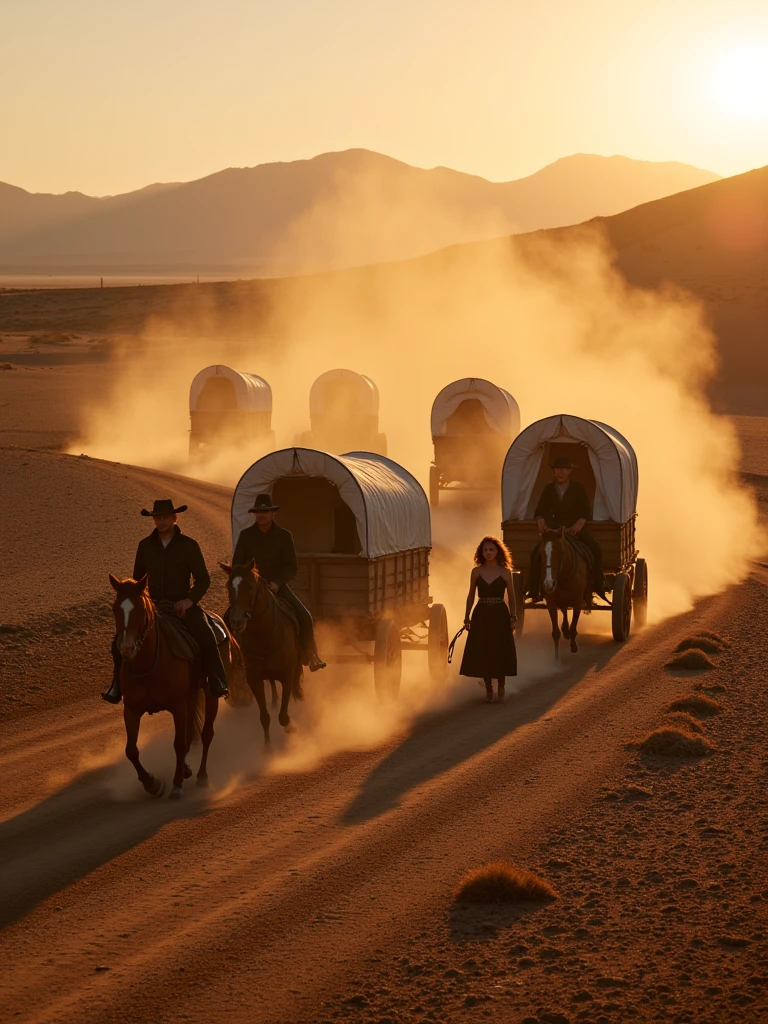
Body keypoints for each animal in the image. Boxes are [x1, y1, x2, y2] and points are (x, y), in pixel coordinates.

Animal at [109, 573, 222, 794]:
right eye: (115, 609)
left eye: (141, 609)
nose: (126, 648)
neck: (148, 666)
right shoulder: (131, 709)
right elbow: (131, 750)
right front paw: (152, 784)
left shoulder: (178, 706)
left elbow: (178, 744)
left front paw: (176, 784)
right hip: (191, 697)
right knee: (190, 735)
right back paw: (186, 769)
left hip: (210, 693)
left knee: (206, 734)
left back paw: (201, 776)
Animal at [219, 561, 303, 753]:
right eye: (228, 586)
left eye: (250, 586)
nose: (236, 621)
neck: (264, 637)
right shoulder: (254, 680)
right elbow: (265, 717)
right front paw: (267, 749)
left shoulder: (287, 676)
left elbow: (283, 716)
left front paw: (292, 727)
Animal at [540, 528, 589, 663]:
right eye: (541, 551)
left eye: (560, 550)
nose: (548, 583)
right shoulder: (551, 602)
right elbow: (555, 632)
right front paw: (557, 658)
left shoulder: (578, 601)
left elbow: (574, 625)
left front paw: (573, 646)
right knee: (564, 609)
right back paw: (565, 630)